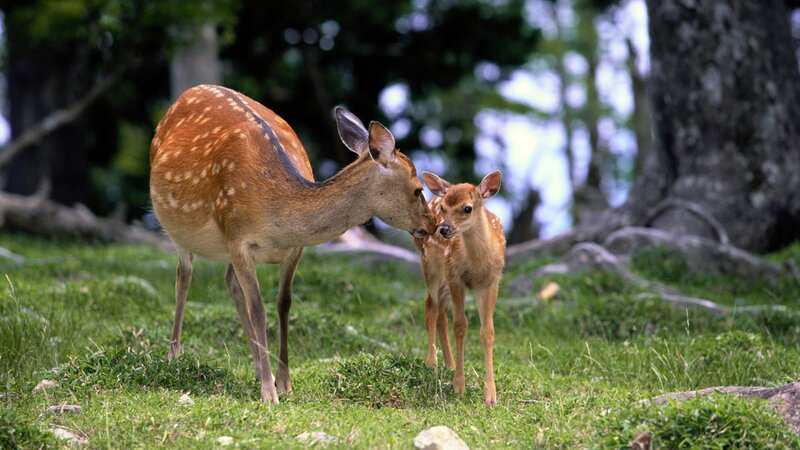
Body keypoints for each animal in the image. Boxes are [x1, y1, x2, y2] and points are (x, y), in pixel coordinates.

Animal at [149, 84, 436, 403]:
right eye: (417, 189)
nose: (433, 225)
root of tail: (188, 93)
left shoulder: (294, 248)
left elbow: (283, 303)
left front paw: (283, 383)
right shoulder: (236, 236)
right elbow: (258, 308)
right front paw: (268, 393)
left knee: (229, 282)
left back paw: (258, 368)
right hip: (178, 228)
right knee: (184, 277)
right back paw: (175, 355)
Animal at [414, 170, 505, 407]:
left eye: (467, 208)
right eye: (444, 208)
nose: (444, 229)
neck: (476, 264)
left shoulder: (491, 281)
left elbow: (488, 332)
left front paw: (491, 396)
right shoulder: (456, 278)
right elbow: (460, 326)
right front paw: (459, 387)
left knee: (440, 313)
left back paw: (450, 364)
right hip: (431, 267)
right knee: (430, 307)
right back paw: (432, 363)